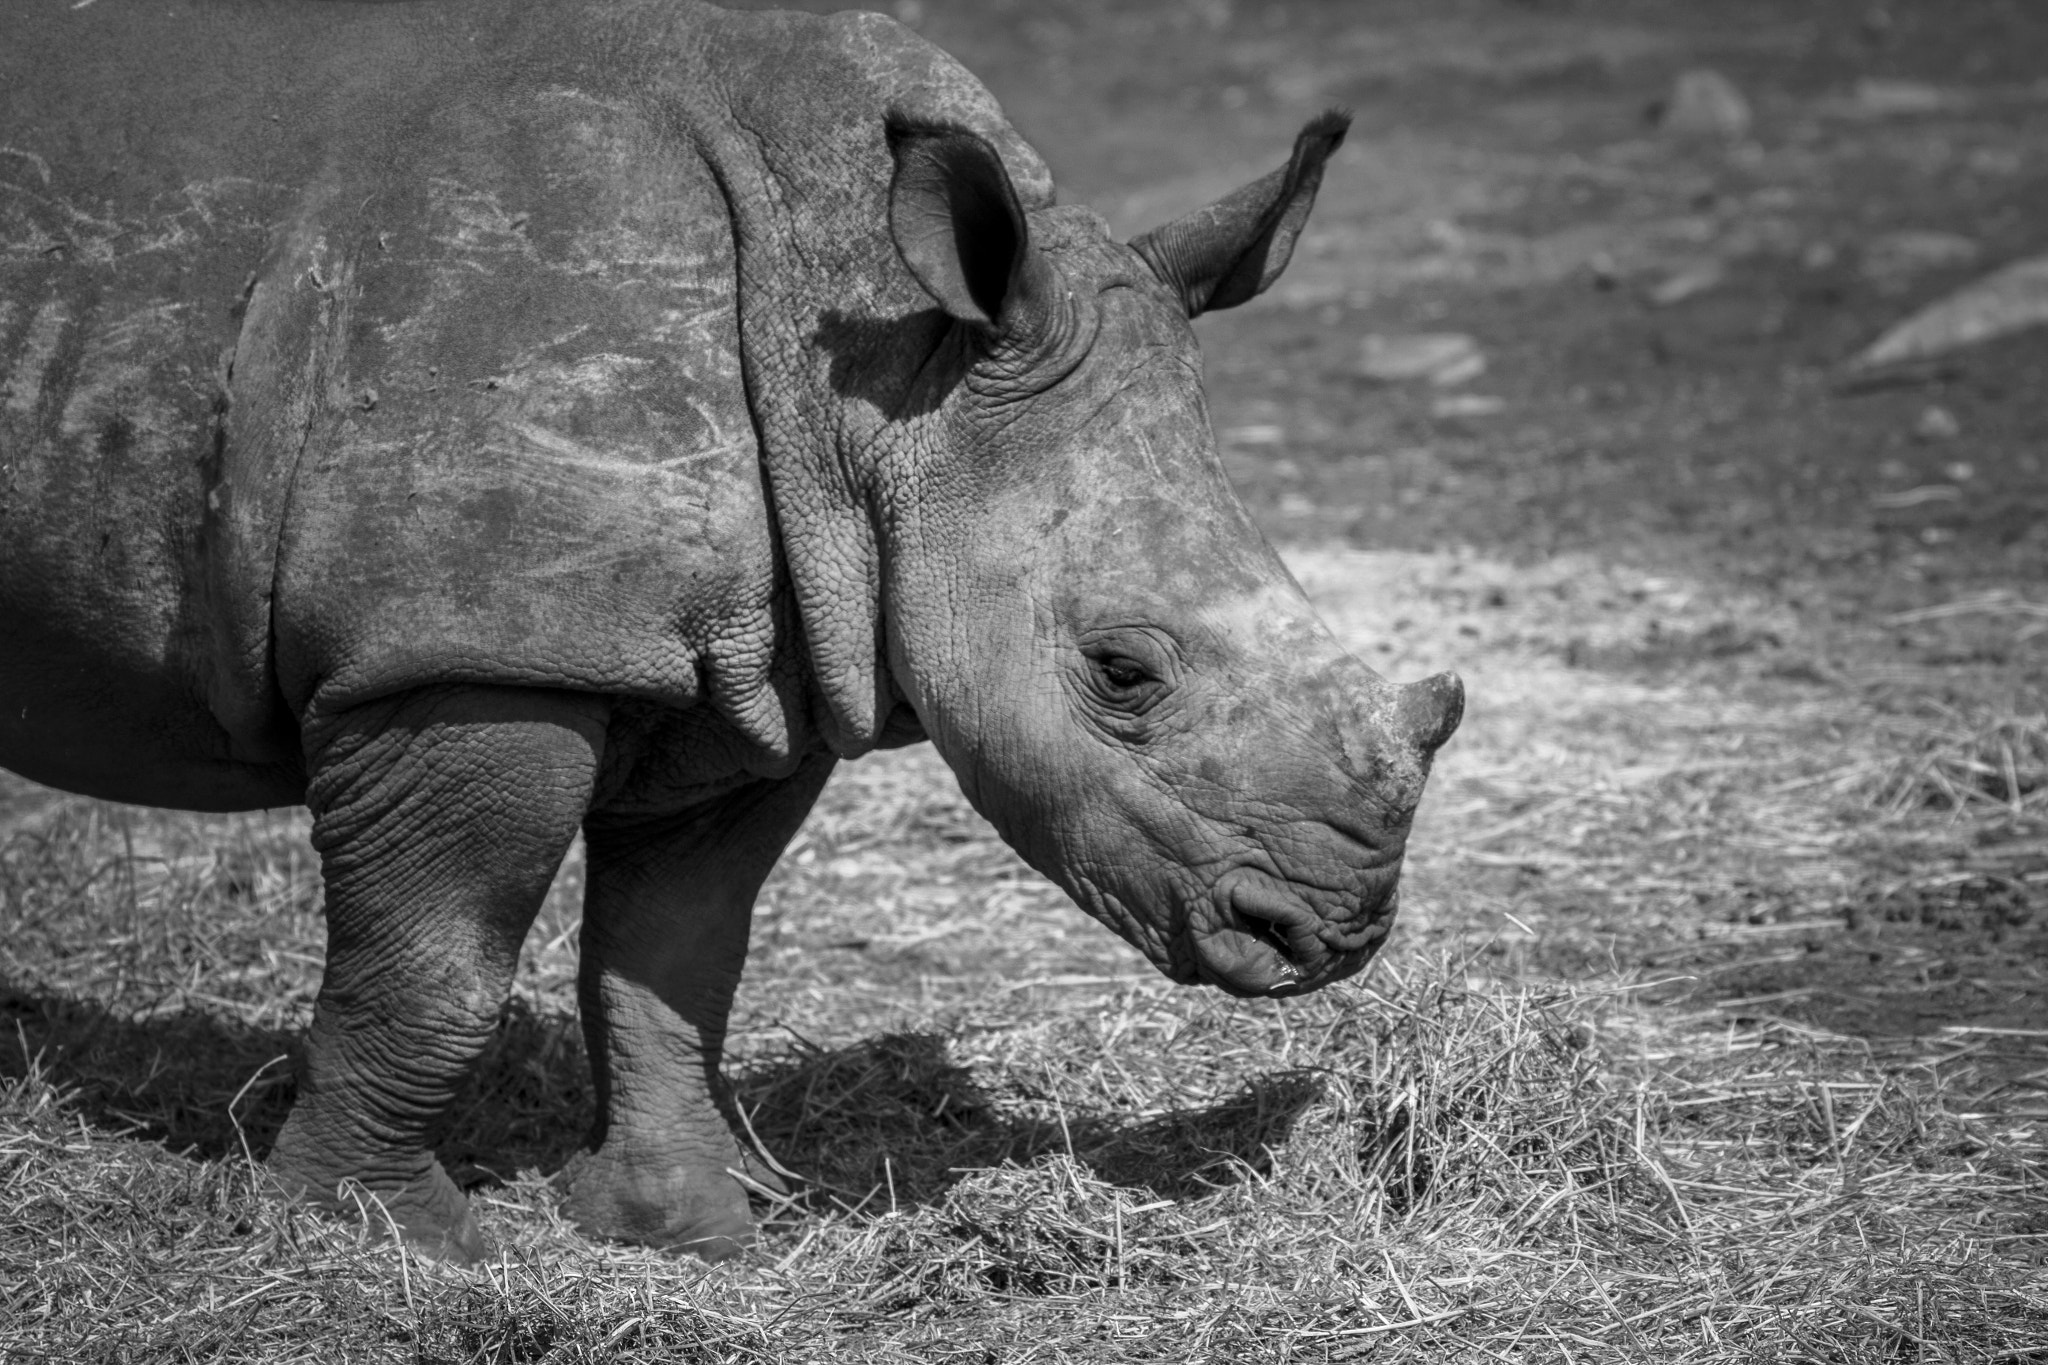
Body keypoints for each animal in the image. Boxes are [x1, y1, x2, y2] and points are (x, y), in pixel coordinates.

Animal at [0, 0, 1462, 1262]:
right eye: (1120, 672)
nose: (1328, 937)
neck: (880, 373)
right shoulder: (466, 648)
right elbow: (432, 965)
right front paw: (385, 1242)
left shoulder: (769, 670)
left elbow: (675, 959)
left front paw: (684, 1231)